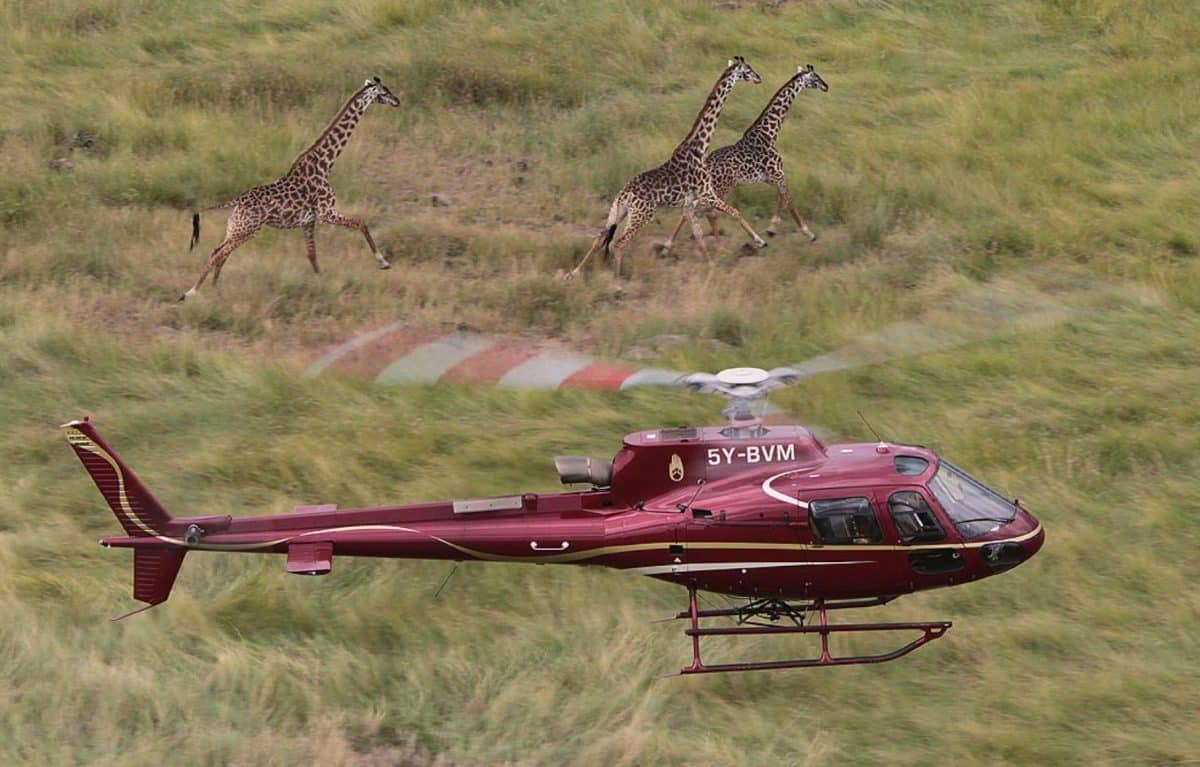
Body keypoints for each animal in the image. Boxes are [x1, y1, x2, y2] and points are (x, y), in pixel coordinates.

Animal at [179, 77, 400, 301]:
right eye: (384, 92)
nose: (397, 101)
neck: (325, 164)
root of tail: (235, 201)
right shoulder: (325, 213)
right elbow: (361, 223)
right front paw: (383, 263)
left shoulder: (309, 221)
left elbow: (312, 255)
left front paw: (321, 283)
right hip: (247, 230)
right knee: (218, 253)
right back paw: (190, 293)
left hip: (235, 227)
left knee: (219, 252)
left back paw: (215, 290)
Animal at [565, 57, 766, 280]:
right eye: (747, 70)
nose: (759, 78)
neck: (700, 148)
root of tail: (625, 195)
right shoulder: (707, 194)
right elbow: (735, 212)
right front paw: (759, 241)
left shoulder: (690, 203)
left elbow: (699, 235)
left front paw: (711, 265)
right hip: (642, 215)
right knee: (618, 244)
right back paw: (617, 280)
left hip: (617, 212)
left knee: (600, 237)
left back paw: (574, 272)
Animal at [660, 64, 829, 255]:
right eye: (815, 77)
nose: (826, 86)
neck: (769, 134)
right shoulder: (778, 174)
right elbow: (790, 202)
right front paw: (808, 233)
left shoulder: (771, 177)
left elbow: (782, 198)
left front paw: (772, 229)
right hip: (720, 189)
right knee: (705, 212)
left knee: (691, 213)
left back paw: (669, 246)